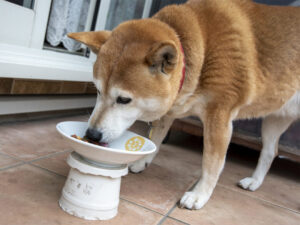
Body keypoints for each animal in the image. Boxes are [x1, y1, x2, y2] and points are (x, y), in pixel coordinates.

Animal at [68, 0, 300, 210]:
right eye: (98, 90)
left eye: (124, 99)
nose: (92, 135)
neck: (203, 49)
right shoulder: (170, 109)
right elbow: (157, 138)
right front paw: (143, 161)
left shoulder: (219, 117)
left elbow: (212, 164)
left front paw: (200, 195)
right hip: (274, 122)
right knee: (270, 152)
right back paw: (254, 181)